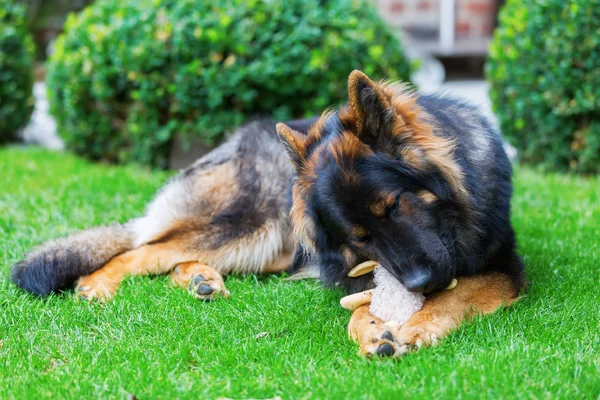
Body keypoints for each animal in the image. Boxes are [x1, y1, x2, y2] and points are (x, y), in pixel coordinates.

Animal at [10, 70, 524, 358]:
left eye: (394, 205)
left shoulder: (505, 267)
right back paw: (98, 284)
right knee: (143, 248)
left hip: (270, 248)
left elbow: (456, 294)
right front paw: (376, 331)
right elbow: (359, 308)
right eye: (361, 236)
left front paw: (416, 324)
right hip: (252, 228)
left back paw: (199, 280)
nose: (421, 284)